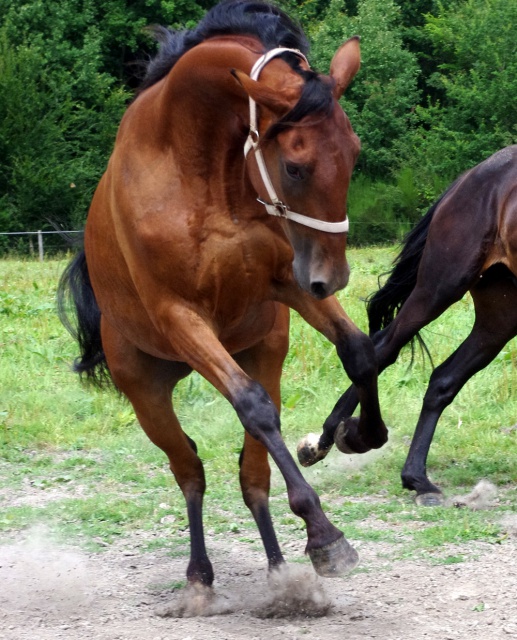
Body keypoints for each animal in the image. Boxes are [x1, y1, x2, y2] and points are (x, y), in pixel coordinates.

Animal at [57, 0, 388, 592]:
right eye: (295, 165)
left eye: (353, 153)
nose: (332, 278)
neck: (197, 169)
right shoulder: (181, 317)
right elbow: (252, 406)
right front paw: (326, 534)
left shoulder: (288, 280)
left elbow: (360, 353)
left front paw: (356, 435)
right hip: (148, 391)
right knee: (191, 468)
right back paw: (199, 578)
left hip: (263, 350)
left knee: (251, 474)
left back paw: (280, 569)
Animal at [296, 148, 516, 508]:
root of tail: (471, 176)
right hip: (441, 286)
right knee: (383, 349)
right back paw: (336, 438)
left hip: (502, 315)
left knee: (443, 379)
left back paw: (416, 478)